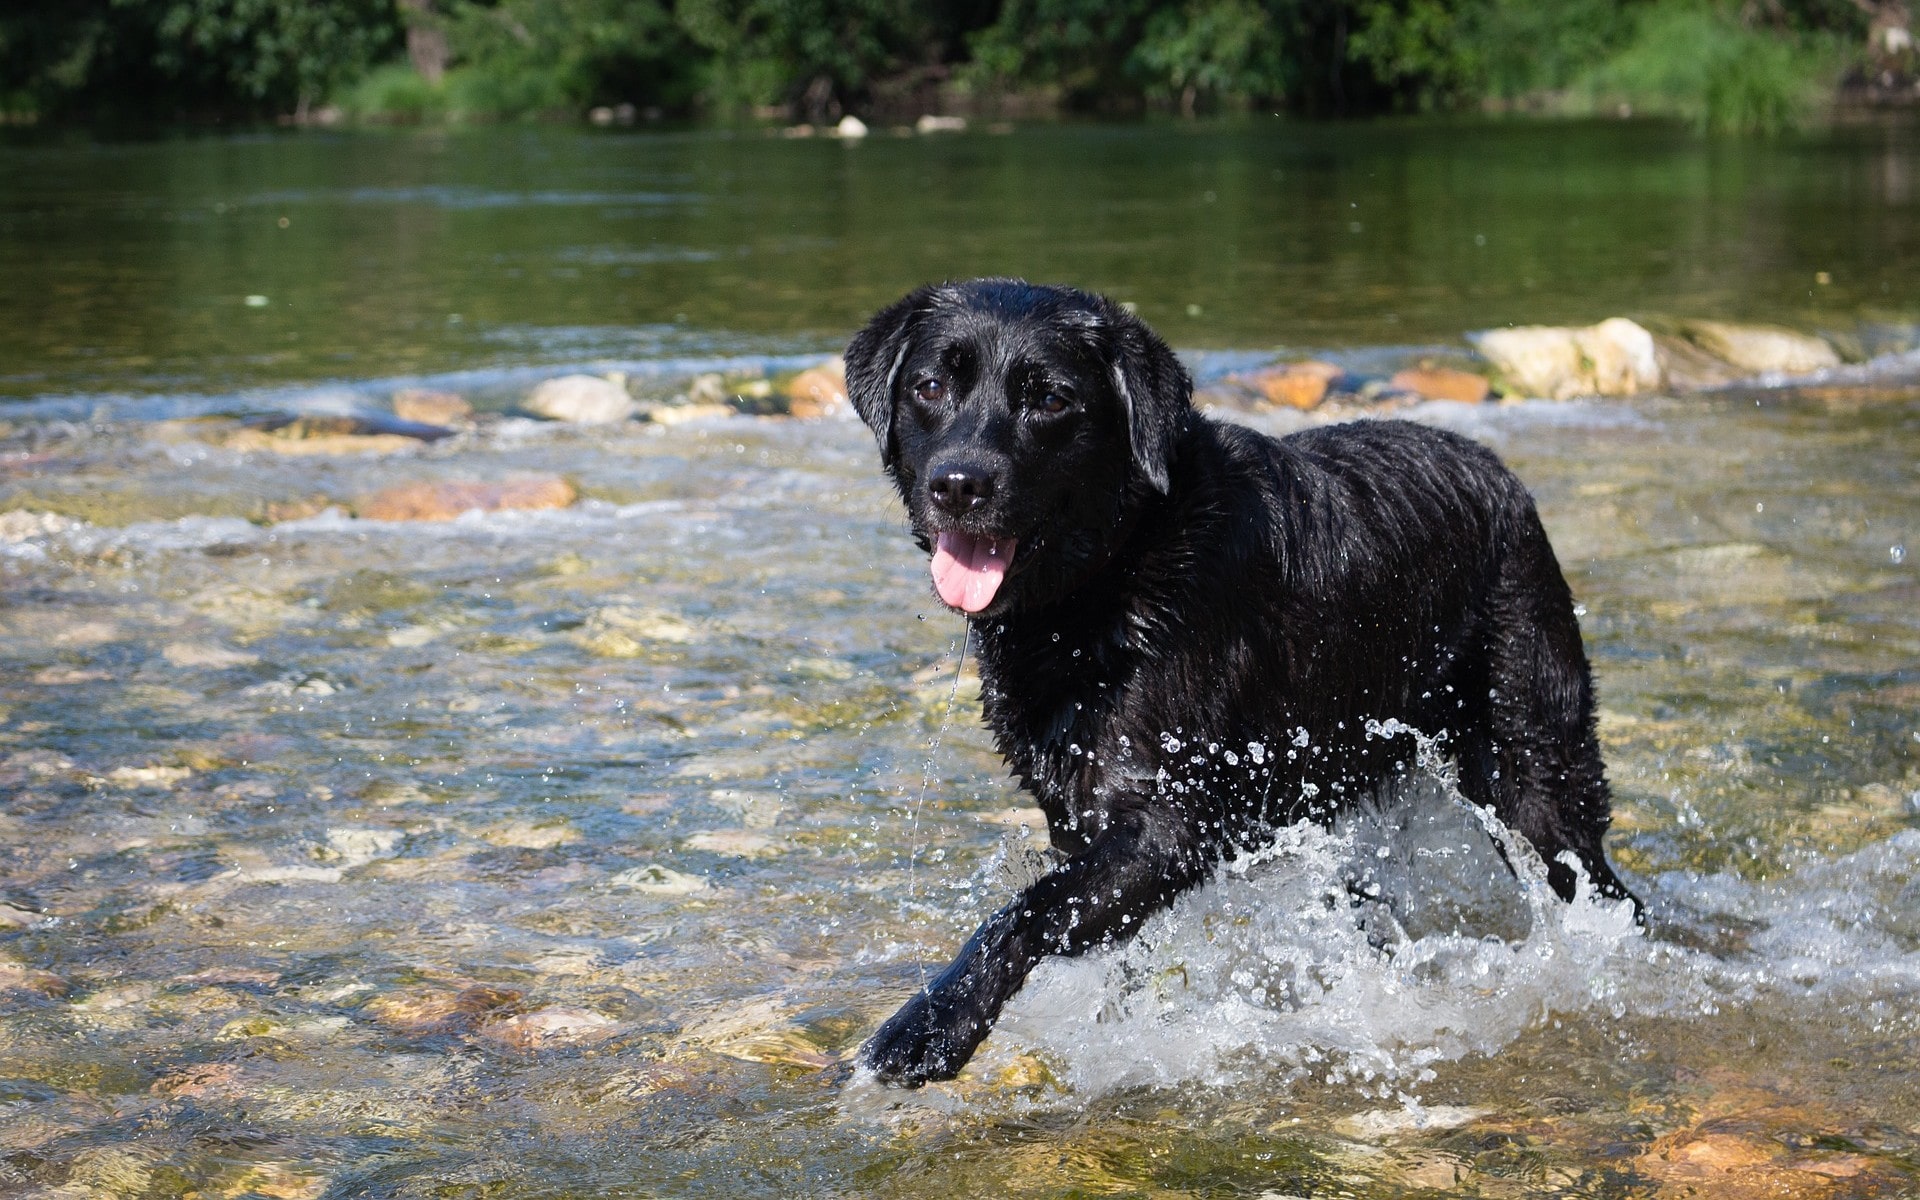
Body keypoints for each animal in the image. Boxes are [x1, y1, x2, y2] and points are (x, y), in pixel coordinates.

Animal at [844, 280, 1635, 1082]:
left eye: (1051, 400)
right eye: (929, 387)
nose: (959, 484)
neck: (1113, 570)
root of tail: (1503, 476)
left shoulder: (1169, 821)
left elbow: (1024, 912)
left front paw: (929, 1025)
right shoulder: (1079, 813)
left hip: (1533, 765)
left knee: (1597, 882)